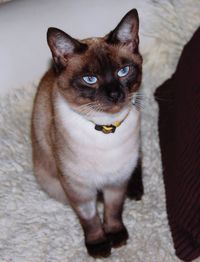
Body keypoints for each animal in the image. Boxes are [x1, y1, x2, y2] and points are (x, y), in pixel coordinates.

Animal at [31, 8, 144, 258]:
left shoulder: (116, 180)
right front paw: (99, 247)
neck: (106, 129)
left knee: (138, 163)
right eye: (90, 79)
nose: (115, 95)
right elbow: (90, 219)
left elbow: (113, 211)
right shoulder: (79, 188)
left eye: (123, 71)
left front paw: (116, 237)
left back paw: (136, 191)